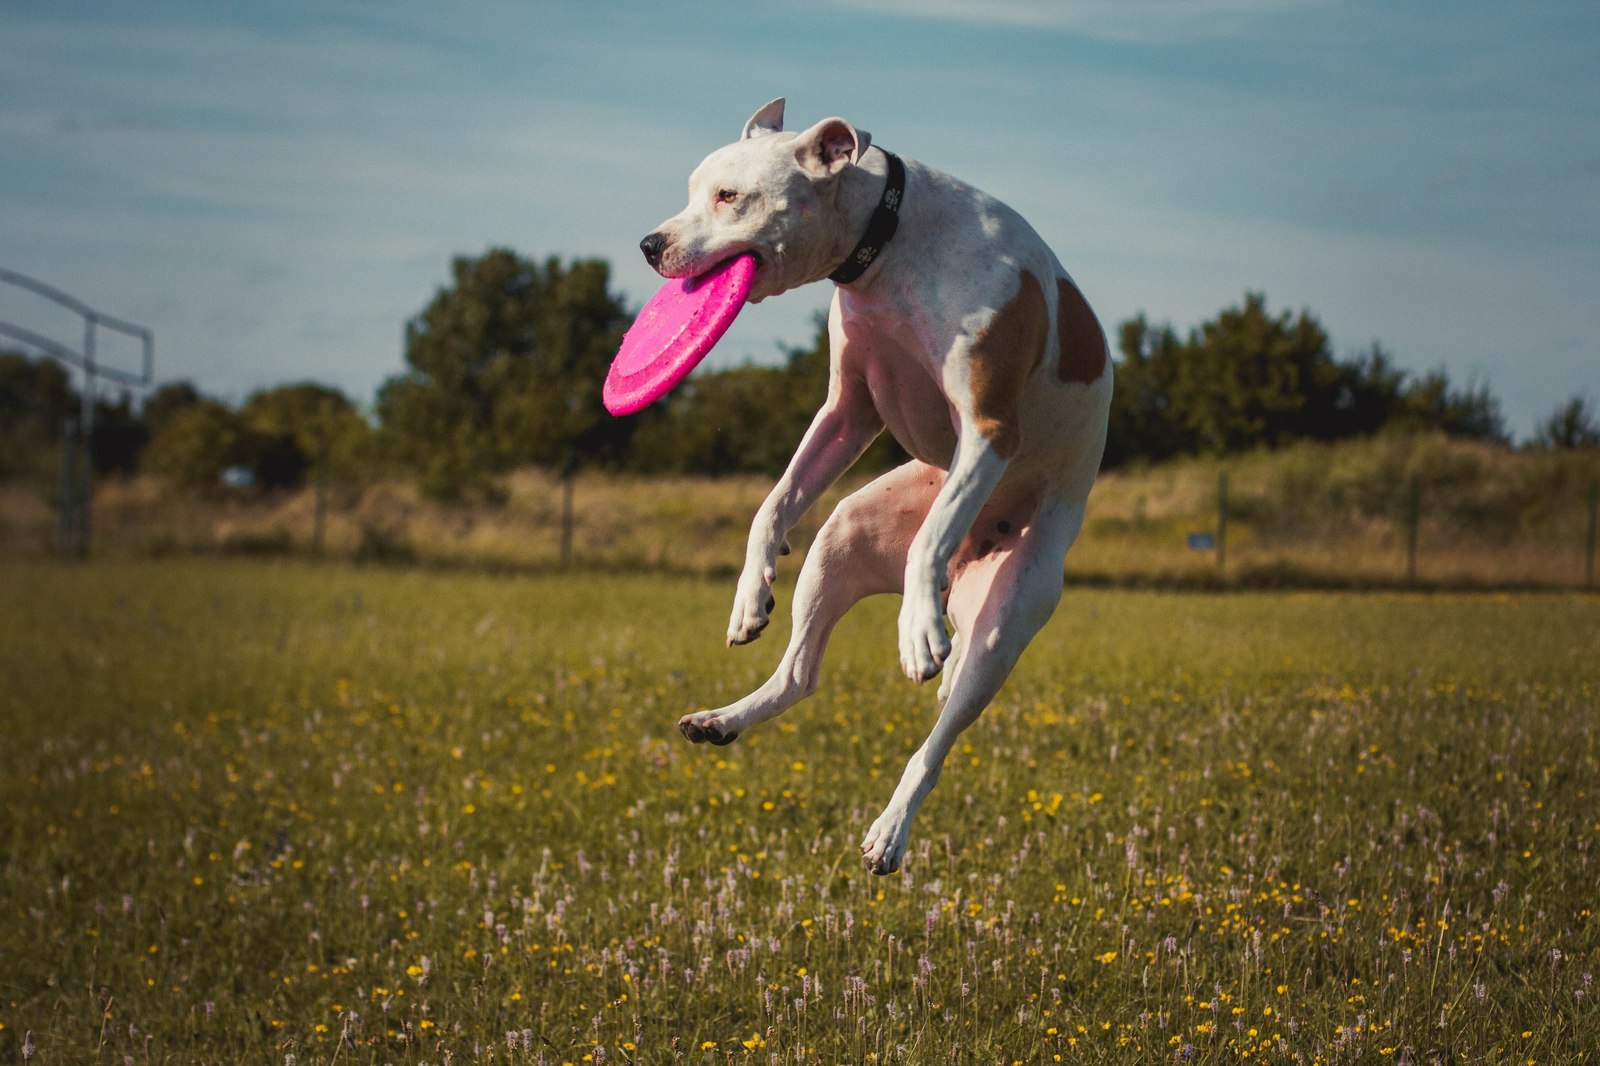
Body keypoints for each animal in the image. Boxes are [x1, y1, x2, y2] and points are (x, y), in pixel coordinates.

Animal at [636, 97, 1113, 870]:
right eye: (692, 190)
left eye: (729, 196)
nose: (650, 244)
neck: (887, 247)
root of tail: (967, 570)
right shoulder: (845, 411)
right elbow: (772, 504)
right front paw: (748, 596)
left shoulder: (987, 431)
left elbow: (931, 537)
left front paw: (914, 631)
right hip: (841, 538)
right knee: (799, 673)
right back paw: (723, 717)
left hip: (1003, 625)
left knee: (937, 742)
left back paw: (891, 826)